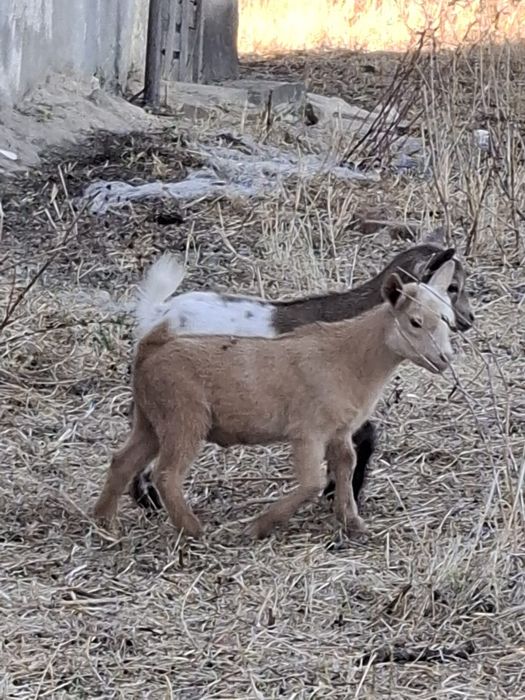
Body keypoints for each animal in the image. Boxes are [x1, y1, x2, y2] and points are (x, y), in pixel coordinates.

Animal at [95, 260, 457, 539]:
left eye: (447, 319)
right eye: (415, 321)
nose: (444, 359)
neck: (352, 356)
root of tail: (151, 343)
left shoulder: (338, 430)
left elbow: (345, 464)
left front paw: (352, 521)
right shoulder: (308, 431)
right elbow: (311, 482)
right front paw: (258, 527)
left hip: (151, 419)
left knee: (123, 460)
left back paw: (103, 521)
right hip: (184, 417)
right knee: (167, 474)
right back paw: (194, 530)